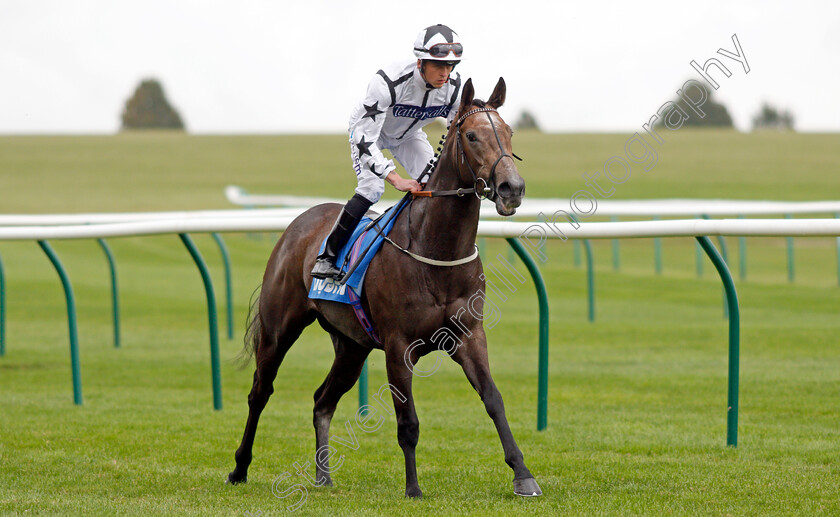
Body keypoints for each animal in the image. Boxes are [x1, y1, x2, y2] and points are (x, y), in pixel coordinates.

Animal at [226, 75, 540, 496]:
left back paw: (323, 475)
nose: (512, 188)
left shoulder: (470, 336)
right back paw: (239, 467)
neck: (435, 249)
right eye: (472, 136)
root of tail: (300, 223)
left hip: (351, 345)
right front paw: (413, 489)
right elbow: (408, 423)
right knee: (260, 392)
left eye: (509, 132)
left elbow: (493, 400)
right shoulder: (398, 346)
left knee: (322, 400)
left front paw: (523, 474)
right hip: (280, 329)